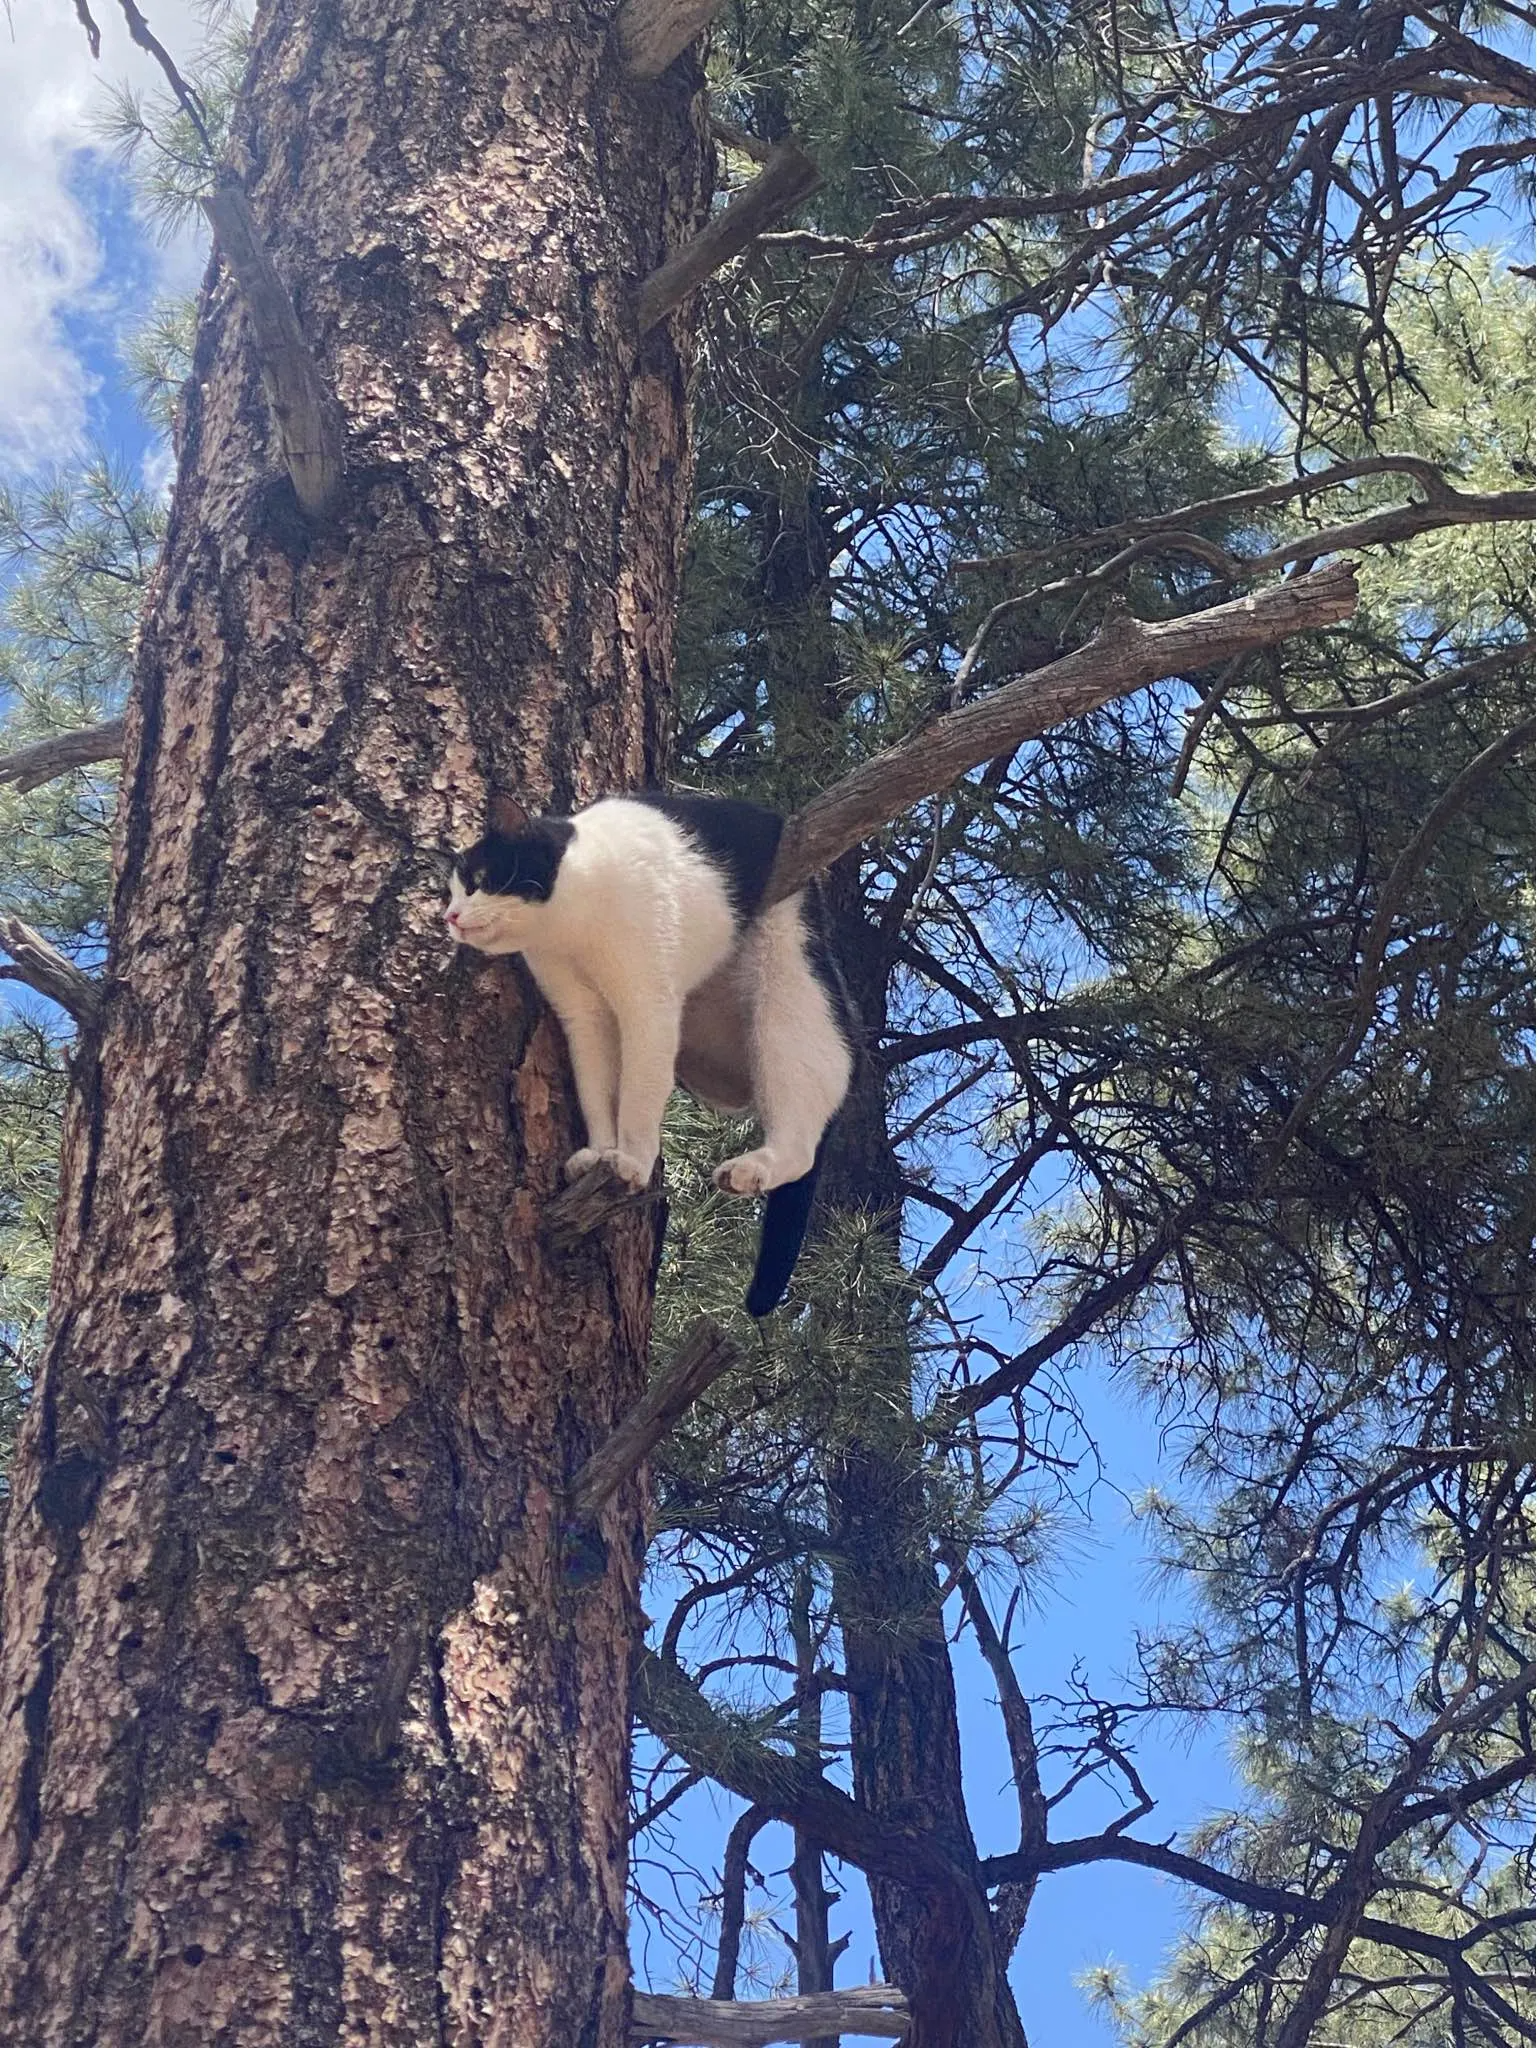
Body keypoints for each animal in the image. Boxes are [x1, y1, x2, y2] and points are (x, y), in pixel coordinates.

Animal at [444, 790, 860, 1318]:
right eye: (452, 891)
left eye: (479, 880)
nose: (450, 918)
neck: (572, 925)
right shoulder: (584, 1018)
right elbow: (597, 1092)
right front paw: (601, 1153)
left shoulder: (649, 1006)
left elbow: (639, 1098)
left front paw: (633, 1163)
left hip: (788, 993)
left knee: (805, 1133)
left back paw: (751, 1169)